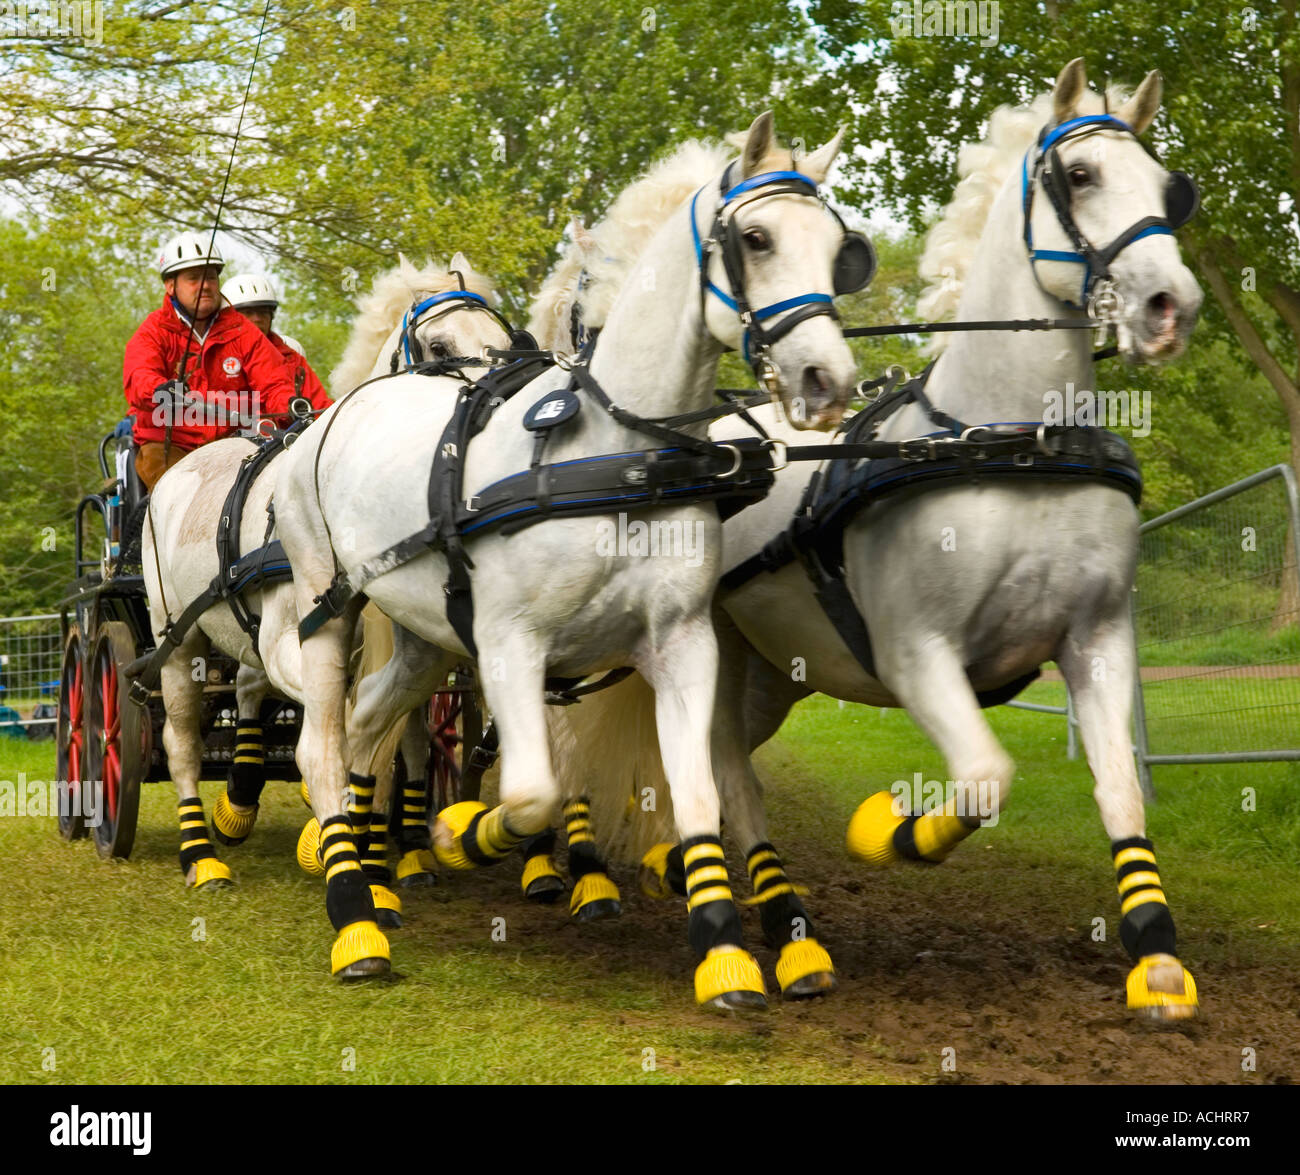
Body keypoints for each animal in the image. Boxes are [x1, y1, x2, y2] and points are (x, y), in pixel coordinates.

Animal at [139, 259, 509, 920]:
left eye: (506, 337)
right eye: (440, 347)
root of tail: (174, 475)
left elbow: (400, 733)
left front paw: (388, 849)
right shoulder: (301, 635)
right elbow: (337, 724)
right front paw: (341, 842)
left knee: (249, 688)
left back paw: (241, 800)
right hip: (176, 640)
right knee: (181, 740)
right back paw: (202, 855)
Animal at [274, 115, 863, 998]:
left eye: (837, 249)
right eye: (756, 238)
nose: (828, 380)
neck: (617, 452)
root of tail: (340, 410)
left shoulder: (682, 642)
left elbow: (694, 790)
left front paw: (722, 945)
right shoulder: (511, 647)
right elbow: (532, 792)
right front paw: (461, 835)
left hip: (422, 639)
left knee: (369, 725)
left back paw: (362, 865)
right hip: (329, 605)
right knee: (322, 744)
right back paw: (354, 910)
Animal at [551, 62, 1206, 1019]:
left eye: (1168, 188)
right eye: (1081, 176)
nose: (1171, 304)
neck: (1014, 442)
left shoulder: (1099, 636)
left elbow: (1120, 788)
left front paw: (1155, 954)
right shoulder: (916, 650)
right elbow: (984, 775)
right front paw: (885, 832)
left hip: (767, 673)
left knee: (721, 766)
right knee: (720, 772)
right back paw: (771, 925)